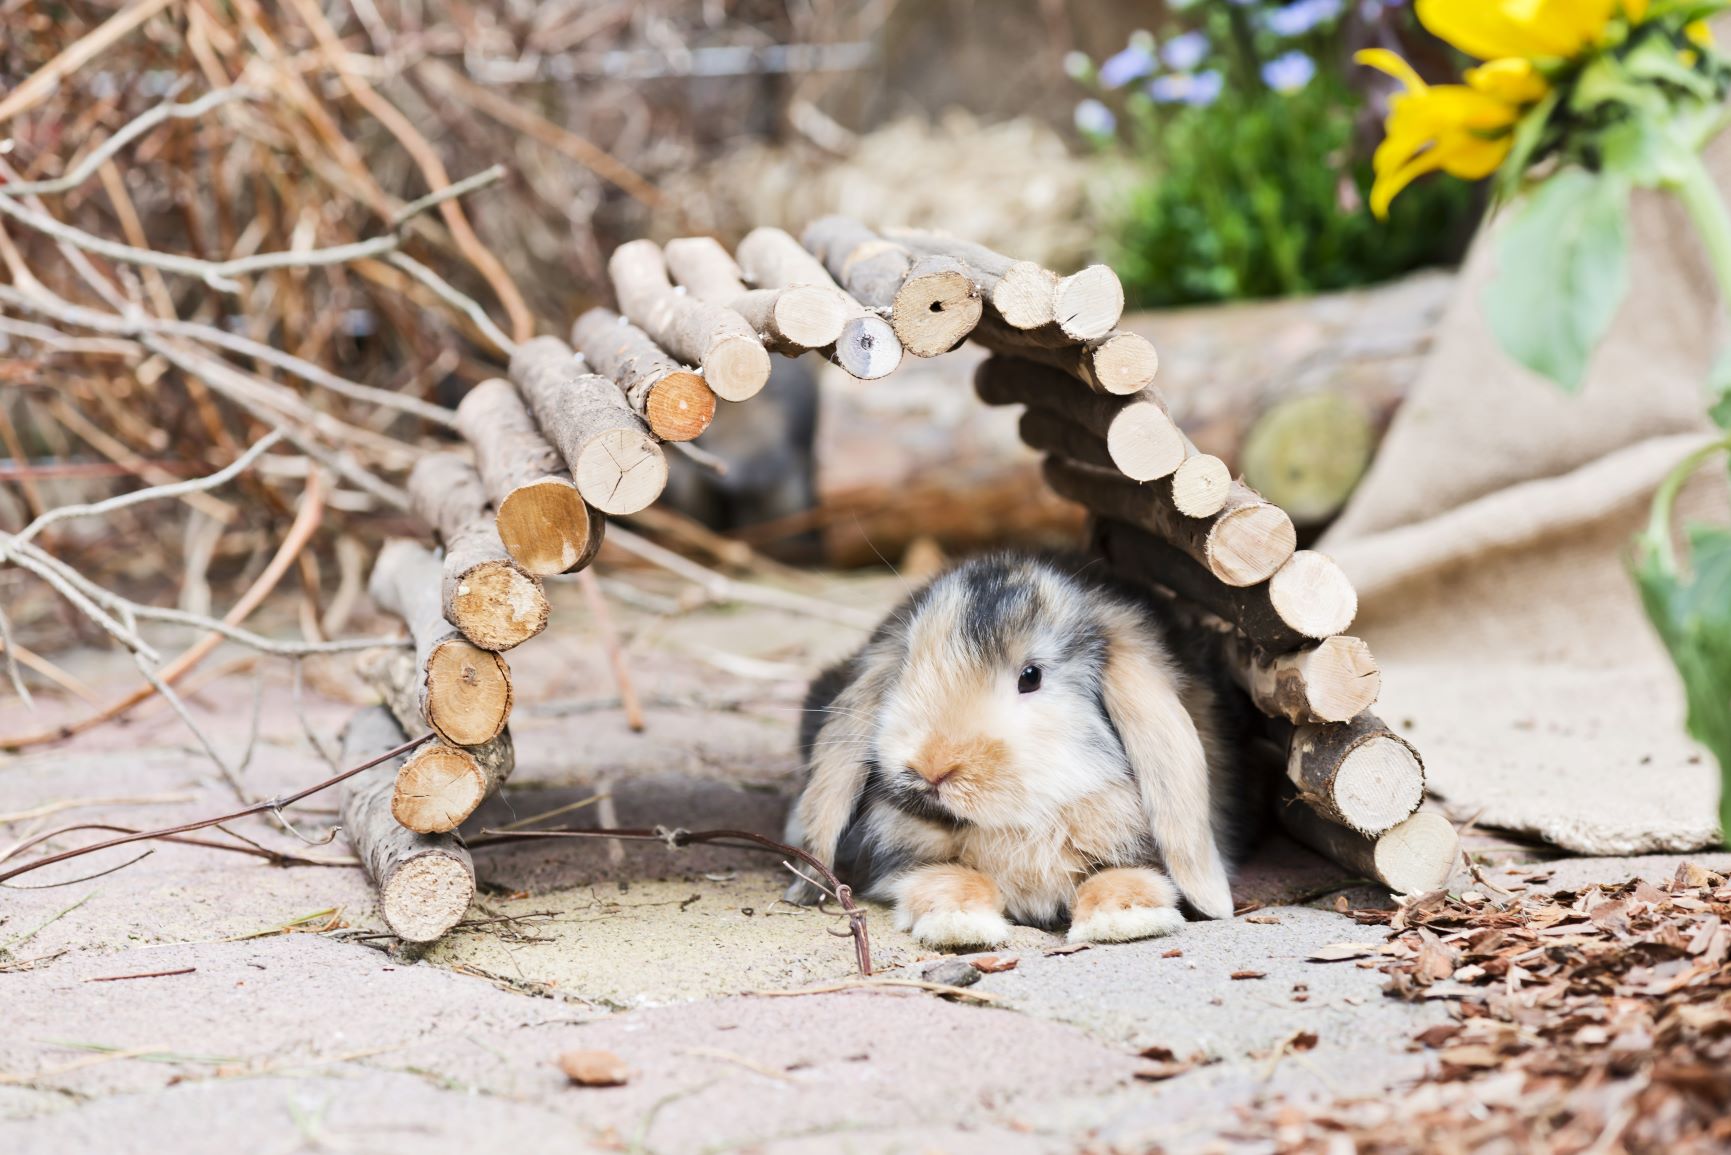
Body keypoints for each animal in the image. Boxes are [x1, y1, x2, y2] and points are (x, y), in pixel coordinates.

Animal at [789, 550, 1260, 948]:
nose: (932, 766)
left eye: (1031, 676)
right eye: (907, 666)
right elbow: (953, 877)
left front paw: (1122, 919)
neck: (1023, 824)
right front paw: (959, 923)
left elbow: (1115, 878)